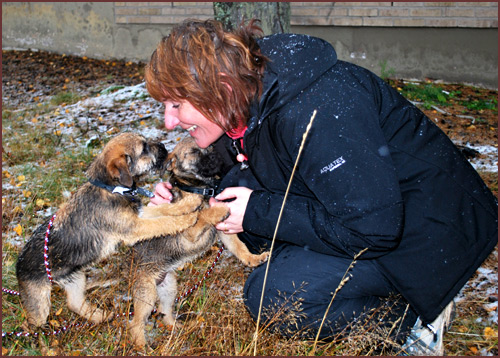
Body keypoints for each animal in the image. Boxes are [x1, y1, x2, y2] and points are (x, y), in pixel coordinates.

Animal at [16, 134, 202, 330]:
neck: (110, 188)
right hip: (40, 305)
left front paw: (187, 204)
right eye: (144, 148)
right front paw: (186, 219)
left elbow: (163, 210)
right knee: (30, 324)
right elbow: (162, 222)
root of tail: (18, 265)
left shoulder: (138, 216)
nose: (163, 146)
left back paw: (101, 316)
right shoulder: (134, 228)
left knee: (74, 303)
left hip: (76, 280)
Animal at [129, 136, 270, 346]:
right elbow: (202, 215)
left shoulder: (224, 233)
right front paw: (219, 208)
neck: (200, 188)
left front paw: (253, 259)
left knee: (164, 311)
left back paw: (175, 327)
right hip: (147, 294)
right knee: (136, 322)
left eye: (210, 147)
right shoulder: (190, 230)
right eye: (194, 152)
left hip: (169, 288)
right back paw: (142, 345)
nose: (216, 156)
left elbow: (239, 247)